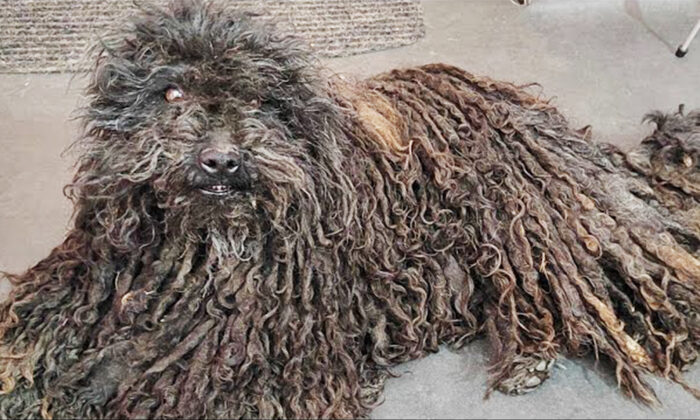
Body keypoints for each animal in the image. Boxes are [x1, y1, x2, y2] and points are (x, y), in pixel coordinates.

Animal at [1, 1, 700, 418]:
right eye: (171, 93)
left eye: (258, 99)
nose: (221, 160)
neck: (209, 246)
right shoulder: (87, 281)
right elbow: (37, 335)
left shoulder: (268, 355)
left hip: (532, 225)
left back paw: (535, 357)